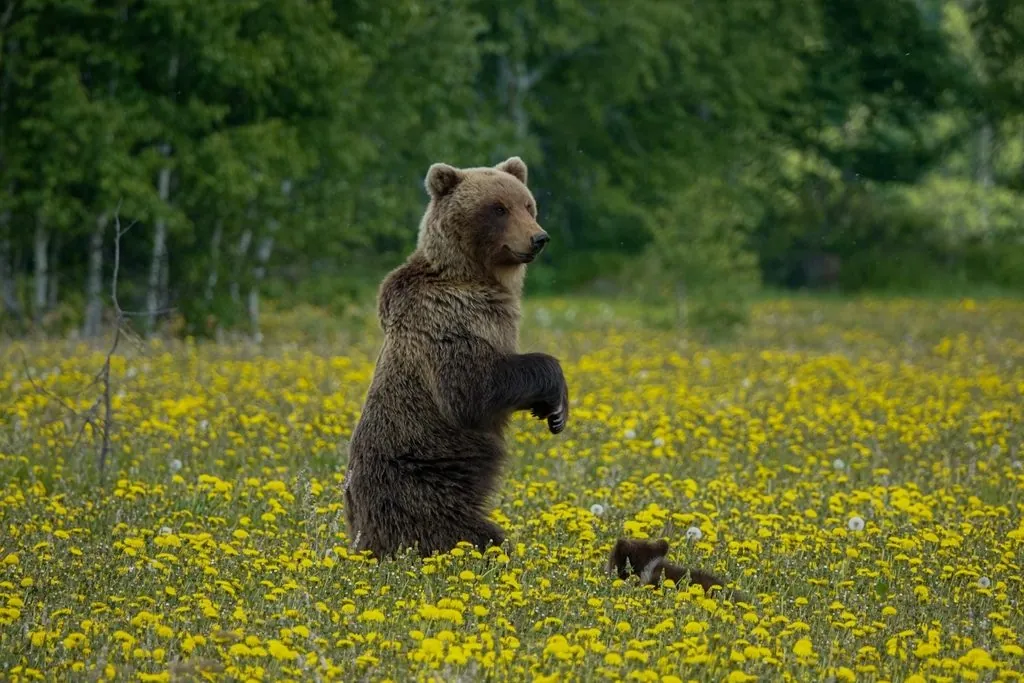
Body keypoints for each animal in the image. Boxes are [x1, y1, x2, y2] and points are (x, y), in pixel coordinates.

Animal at [343, 156, 569, 559]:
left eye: (528, 205)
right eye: (498, 208)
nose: (539, 238)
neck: (474, 276)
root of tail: (360, 538)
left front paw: (556, 413)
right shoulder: (448, 320)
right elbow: (472, 389)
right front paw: (553, 389)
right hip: (423, 491)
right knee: (464, 532)